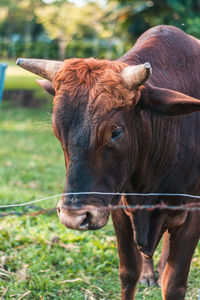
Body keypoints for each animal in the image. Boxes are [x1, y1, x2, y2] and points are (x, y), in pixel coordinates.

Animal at [17, 25, 200, 300]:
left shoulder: (192, 212)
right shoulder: (119, 206)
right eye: (57, 130)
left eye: (116, 132)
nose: (74, 217)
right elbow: (128, 274)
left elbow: (174, 283)